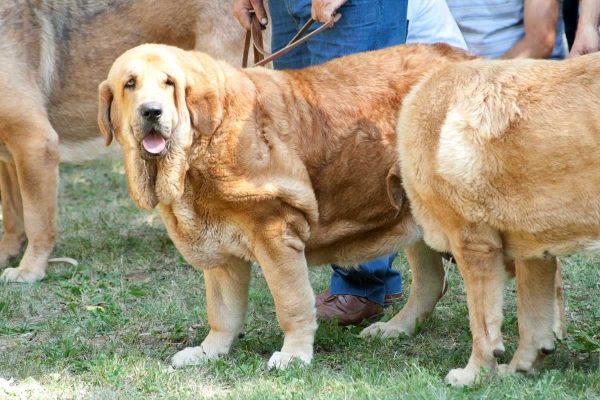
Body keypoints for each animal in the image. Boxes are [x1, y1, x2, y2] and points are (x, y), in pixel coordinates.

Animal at [396, 54, 600, 386]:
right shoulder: (535, 251)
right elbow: (533, 318)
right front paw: (520, 367)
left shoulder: (474, 246)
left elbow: (482, 323)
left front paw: (475, 374)